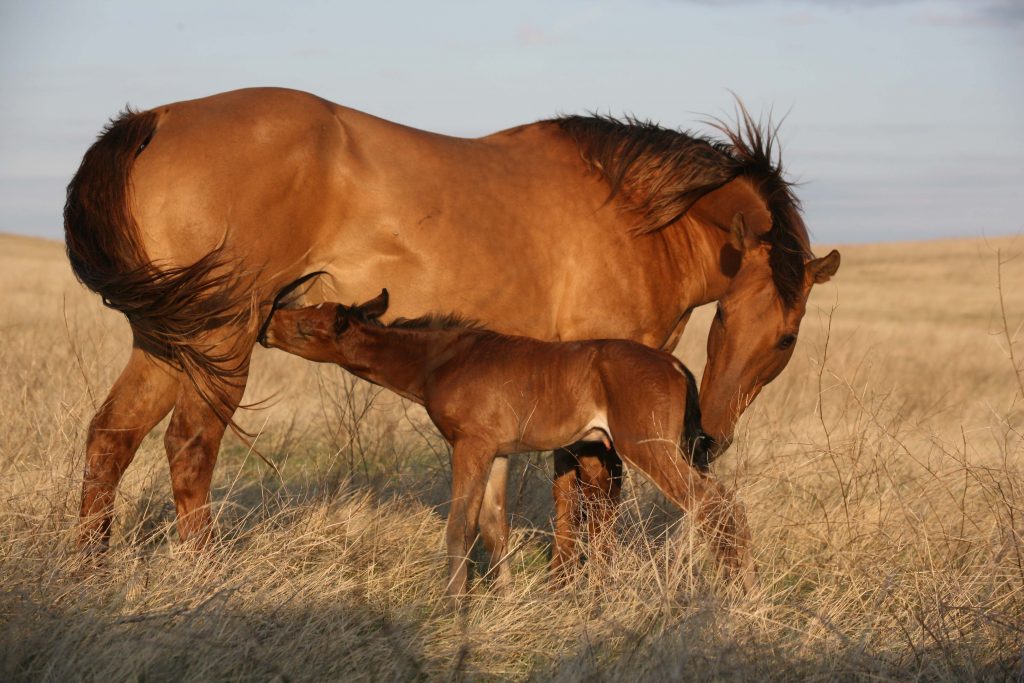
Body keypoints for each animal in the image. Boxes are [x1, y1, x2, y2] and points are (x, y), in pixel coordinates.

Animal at [64, 87, 839, 559]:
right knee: (190, 446)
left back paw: (90, 571)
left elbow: (571, 487)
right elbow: (593, 488)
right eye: (786, 335)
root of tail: (156, 119)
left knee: (111, 437)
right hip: (218, 338)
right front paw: (588, 590)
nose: (712, 439)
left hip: (169, 342)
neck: (635, 216)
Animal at [258, 278, 754, 598]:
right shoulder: (497, 453)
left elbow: (460, 524)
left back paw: (735, 588)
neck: (439, 360)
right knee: (722, 502)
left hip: (649, 448)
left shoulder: (470, 445)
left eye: (306, 327)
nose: (266, 327)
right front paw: (507, 596)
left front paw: (454, 602)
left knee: (712, 503)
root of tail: (674, 366)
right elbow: (494, 525)